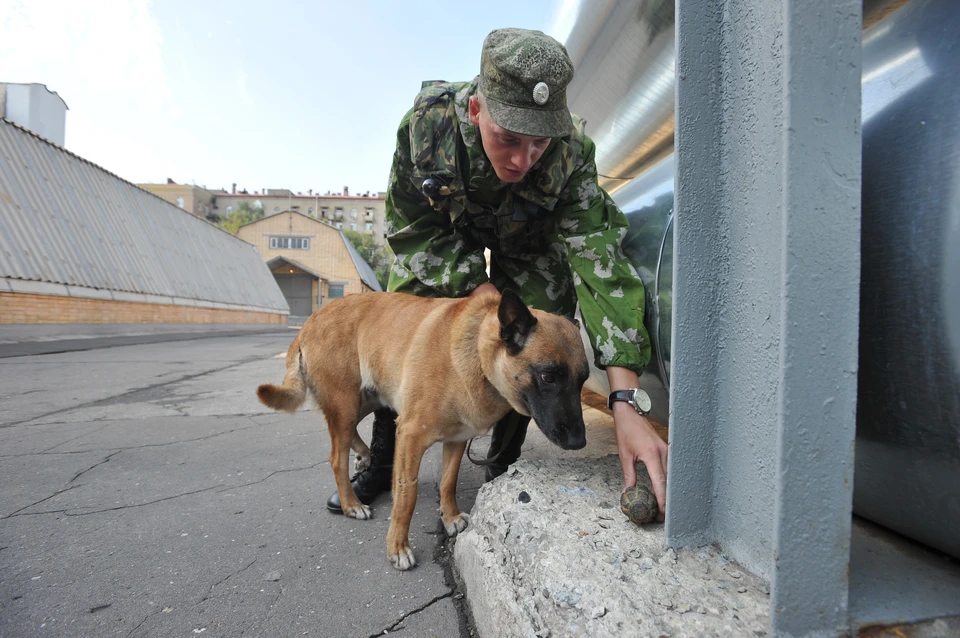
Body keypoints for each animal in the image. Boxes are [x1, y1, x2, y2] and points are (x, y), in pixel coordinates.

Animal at [256, 290, 584, 568]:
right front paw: (397, 547)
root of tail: (310, 321)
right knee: (336, 457)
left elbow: (448, 482)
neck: (477, 354)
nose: (579, 442)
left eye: (581, 381)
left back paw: (364, 455)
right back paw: (351, 503)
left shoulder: (456, 439)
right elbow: (406, 495)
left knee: (350, 435)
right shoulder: (410, 436)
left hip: (366, 399)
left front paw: (449, 516)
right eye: (548, 376)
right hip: (347, 405)